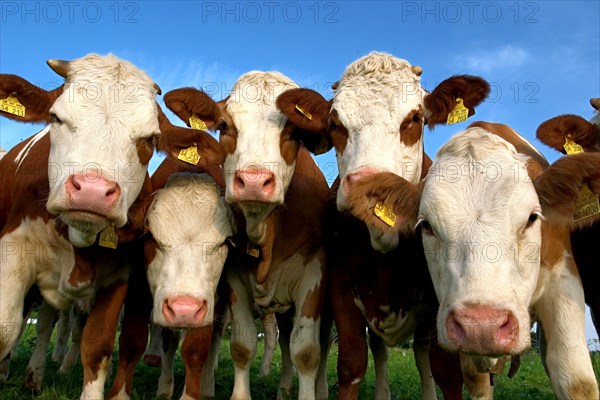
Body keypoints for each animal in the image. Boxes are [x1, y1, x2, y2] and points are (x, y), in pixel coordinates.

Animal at [0, 54, 223, 400]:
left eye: (150, 139)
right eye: (55, 118)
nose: (92, 190)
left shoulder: (118, 278)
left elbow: (98, 346)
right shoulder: (12, 251)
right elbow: (4, 329)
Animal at [162, 70, 330, 398]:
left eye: (295, 134)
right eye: (224, 126)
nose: (253, 180)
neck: (265, 231)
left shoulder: (314, 274)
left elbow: (306, 351)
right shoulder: (234, 276)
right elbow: (242, 345)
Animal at [278, 51, 492, 398]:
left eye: (415, 118)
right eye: (335, 124)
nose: (369, 185)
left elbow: (445, 372)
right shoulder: (340, 287)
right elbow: (351, 364)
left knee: (421, 355)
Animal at [410, 122, 596, 400]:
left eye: (532, 217)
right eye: (426, 225)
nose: (481, 325)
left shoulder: (563, 278)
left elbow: (577, 381)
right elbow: (477, 381)